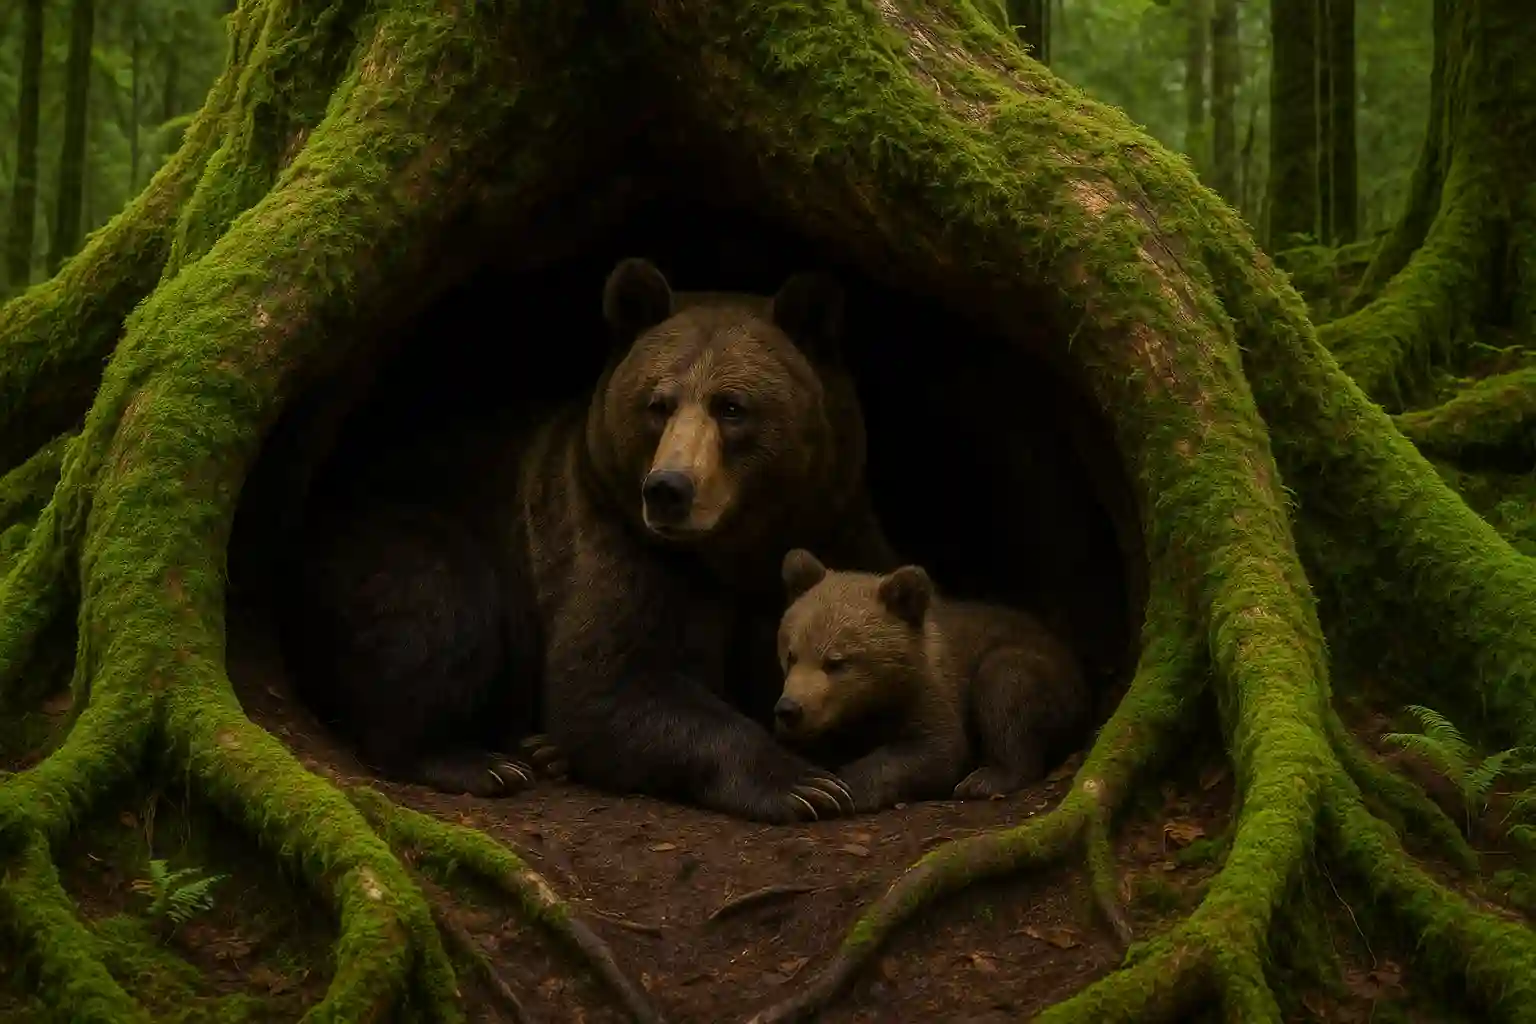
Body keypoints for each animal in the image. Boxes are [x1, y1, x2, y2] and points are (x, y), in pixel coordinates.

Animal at [282, 258, 898, 823]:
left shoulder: (835, 528)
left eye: (731, 406)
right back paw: (479, 760)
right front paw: (804, 785)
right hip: (390, 531)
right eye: (658, 403)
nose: (669, 488)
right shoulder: (616, 541)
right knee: (437, 606)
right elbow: (608, 681)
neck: (735, 550)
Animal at [771, 548, 1091, 813]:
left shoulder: (929, 694)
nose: (790, 709)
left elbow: (937, 750)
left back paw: (985, 779)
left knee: (1005, 683)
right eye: (792, 654)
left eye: (836, 661)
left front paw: (840, 788)